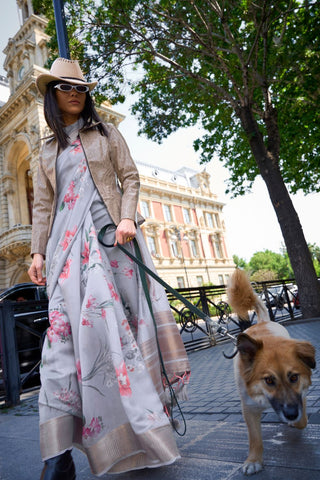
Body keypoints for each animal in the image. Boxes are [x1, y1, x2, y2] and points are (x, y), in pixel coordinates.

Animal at [226, 270, 316, 476]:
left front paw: (294, 422)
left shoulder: (301, 396)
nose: (290, 414)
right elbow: (254, 438)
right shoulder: (248, 407)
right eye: (268, 380)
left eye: (294, 377)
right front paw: (254, 460)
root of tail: (262, 322)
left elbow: (302, 420)